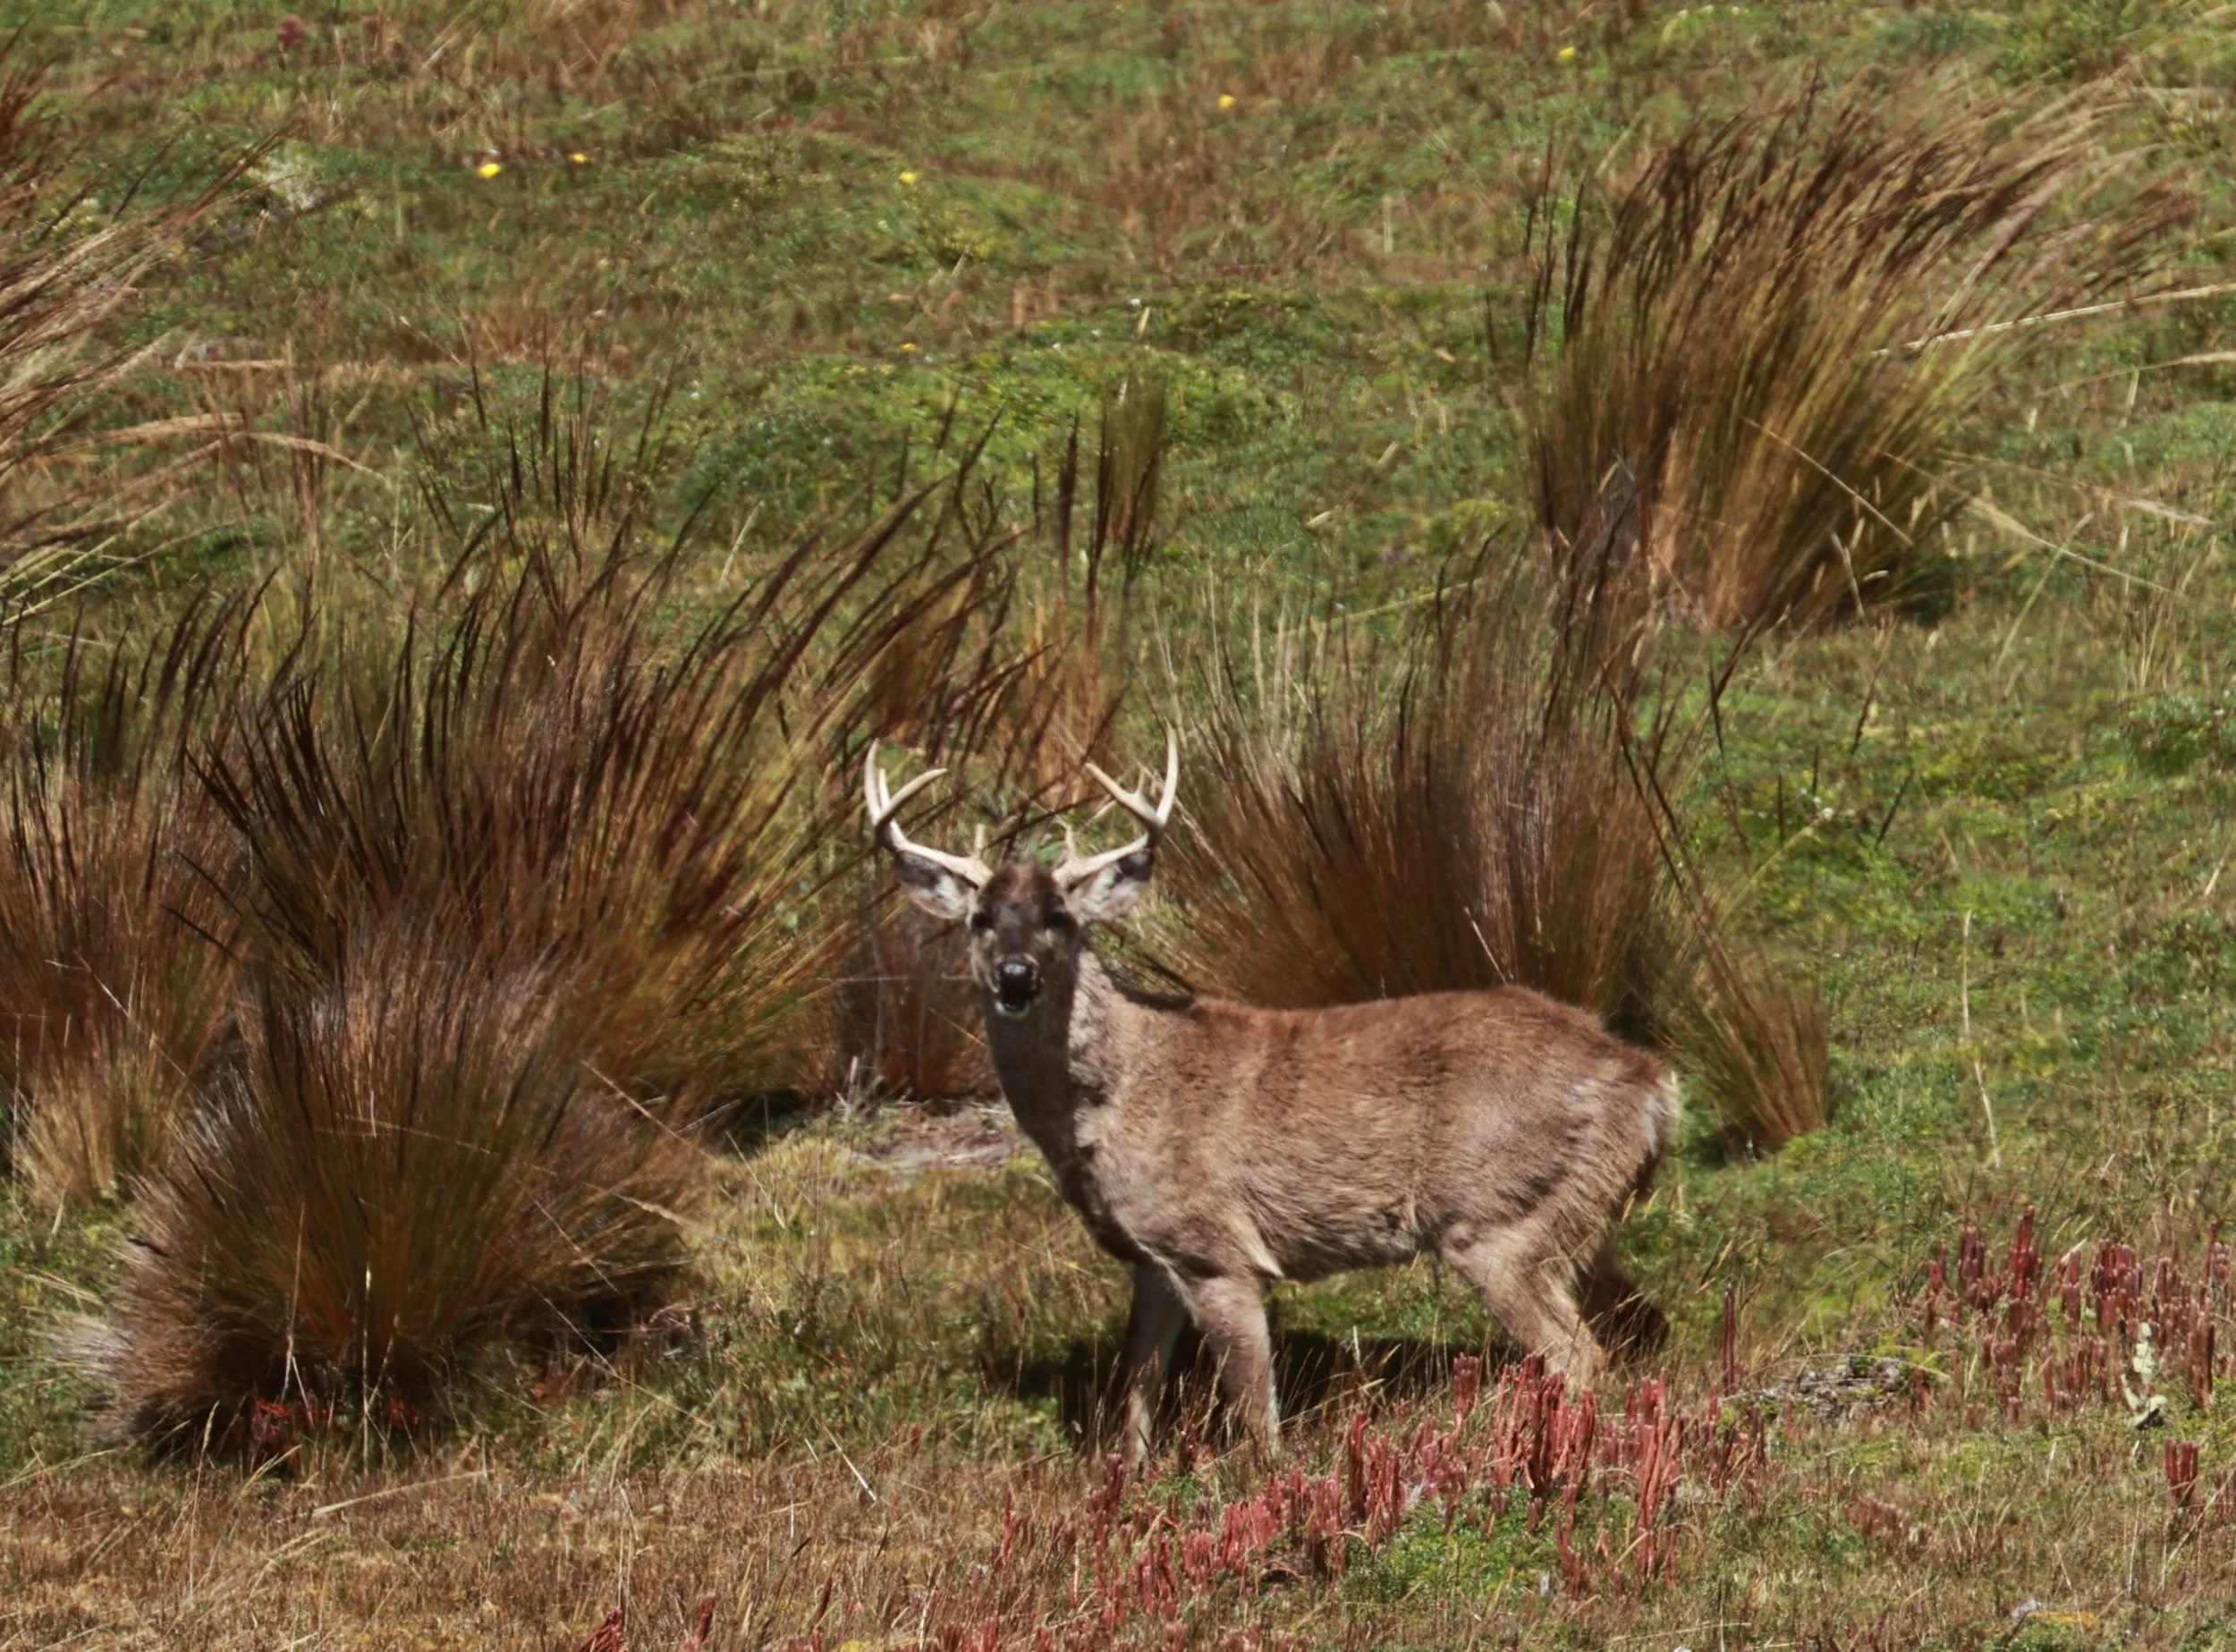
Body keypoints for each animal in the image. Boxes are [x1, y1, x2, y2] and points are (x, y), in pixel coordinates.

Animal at [864, 731, 1679, 1465]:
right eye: (980, 919)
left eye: (1059, 918)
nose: (1016, 975)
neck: (1120, 1092)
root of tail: (1649, 1084)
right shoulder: (1152, 1256)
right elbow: (1137, 1384)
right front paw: (1126, 1479)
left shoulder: (1216, 1246)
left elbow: (1255, 1407)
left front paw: (1259, 1490)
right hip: (1575, 1219)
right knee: (1644, 1328)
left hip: (1498, 1217)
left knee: (1582, 1355)